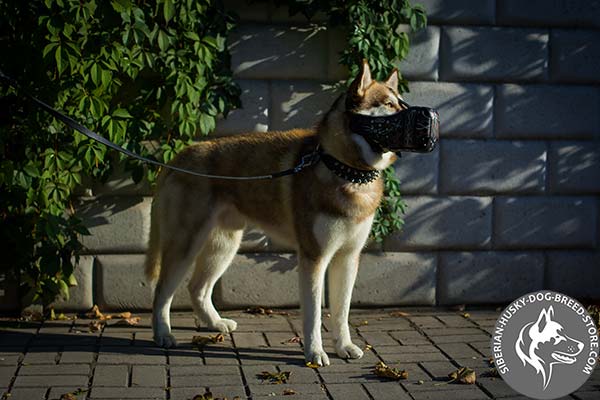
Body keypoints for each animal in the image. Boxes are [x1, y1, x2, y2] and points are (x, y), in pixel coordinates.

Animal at [146, 59, 408, 366]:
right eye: (389, 105)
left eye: (401, 103)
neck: (344, 168)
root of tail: (178, 158)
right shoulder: (314, 258)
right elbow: (314, 315)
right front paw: (314, 353)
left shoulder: (348, 258)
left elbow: (341, 312)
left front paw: (344, 346)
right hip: (185, 245)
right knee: (162, 292)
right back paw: (163, 334)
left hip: (223, 246)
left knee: (197, 289)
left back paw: (215, 323)